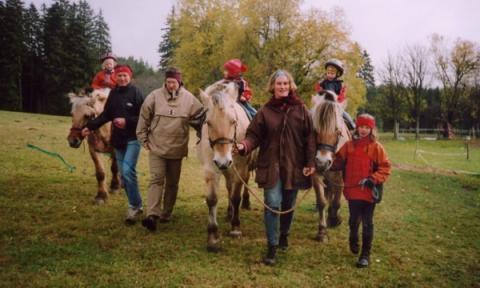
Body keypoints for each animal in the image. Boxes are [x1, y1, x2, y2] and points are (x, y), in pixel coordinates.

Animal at [310, 90, 350, 243]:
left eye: (338, 131)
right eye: (315, 130)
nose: (322, 162)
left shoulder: (339, 177)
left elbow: (337, 201)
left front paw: (334, 219)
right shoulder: (315, 174)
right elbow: (322, 201)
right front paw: (322, 231)